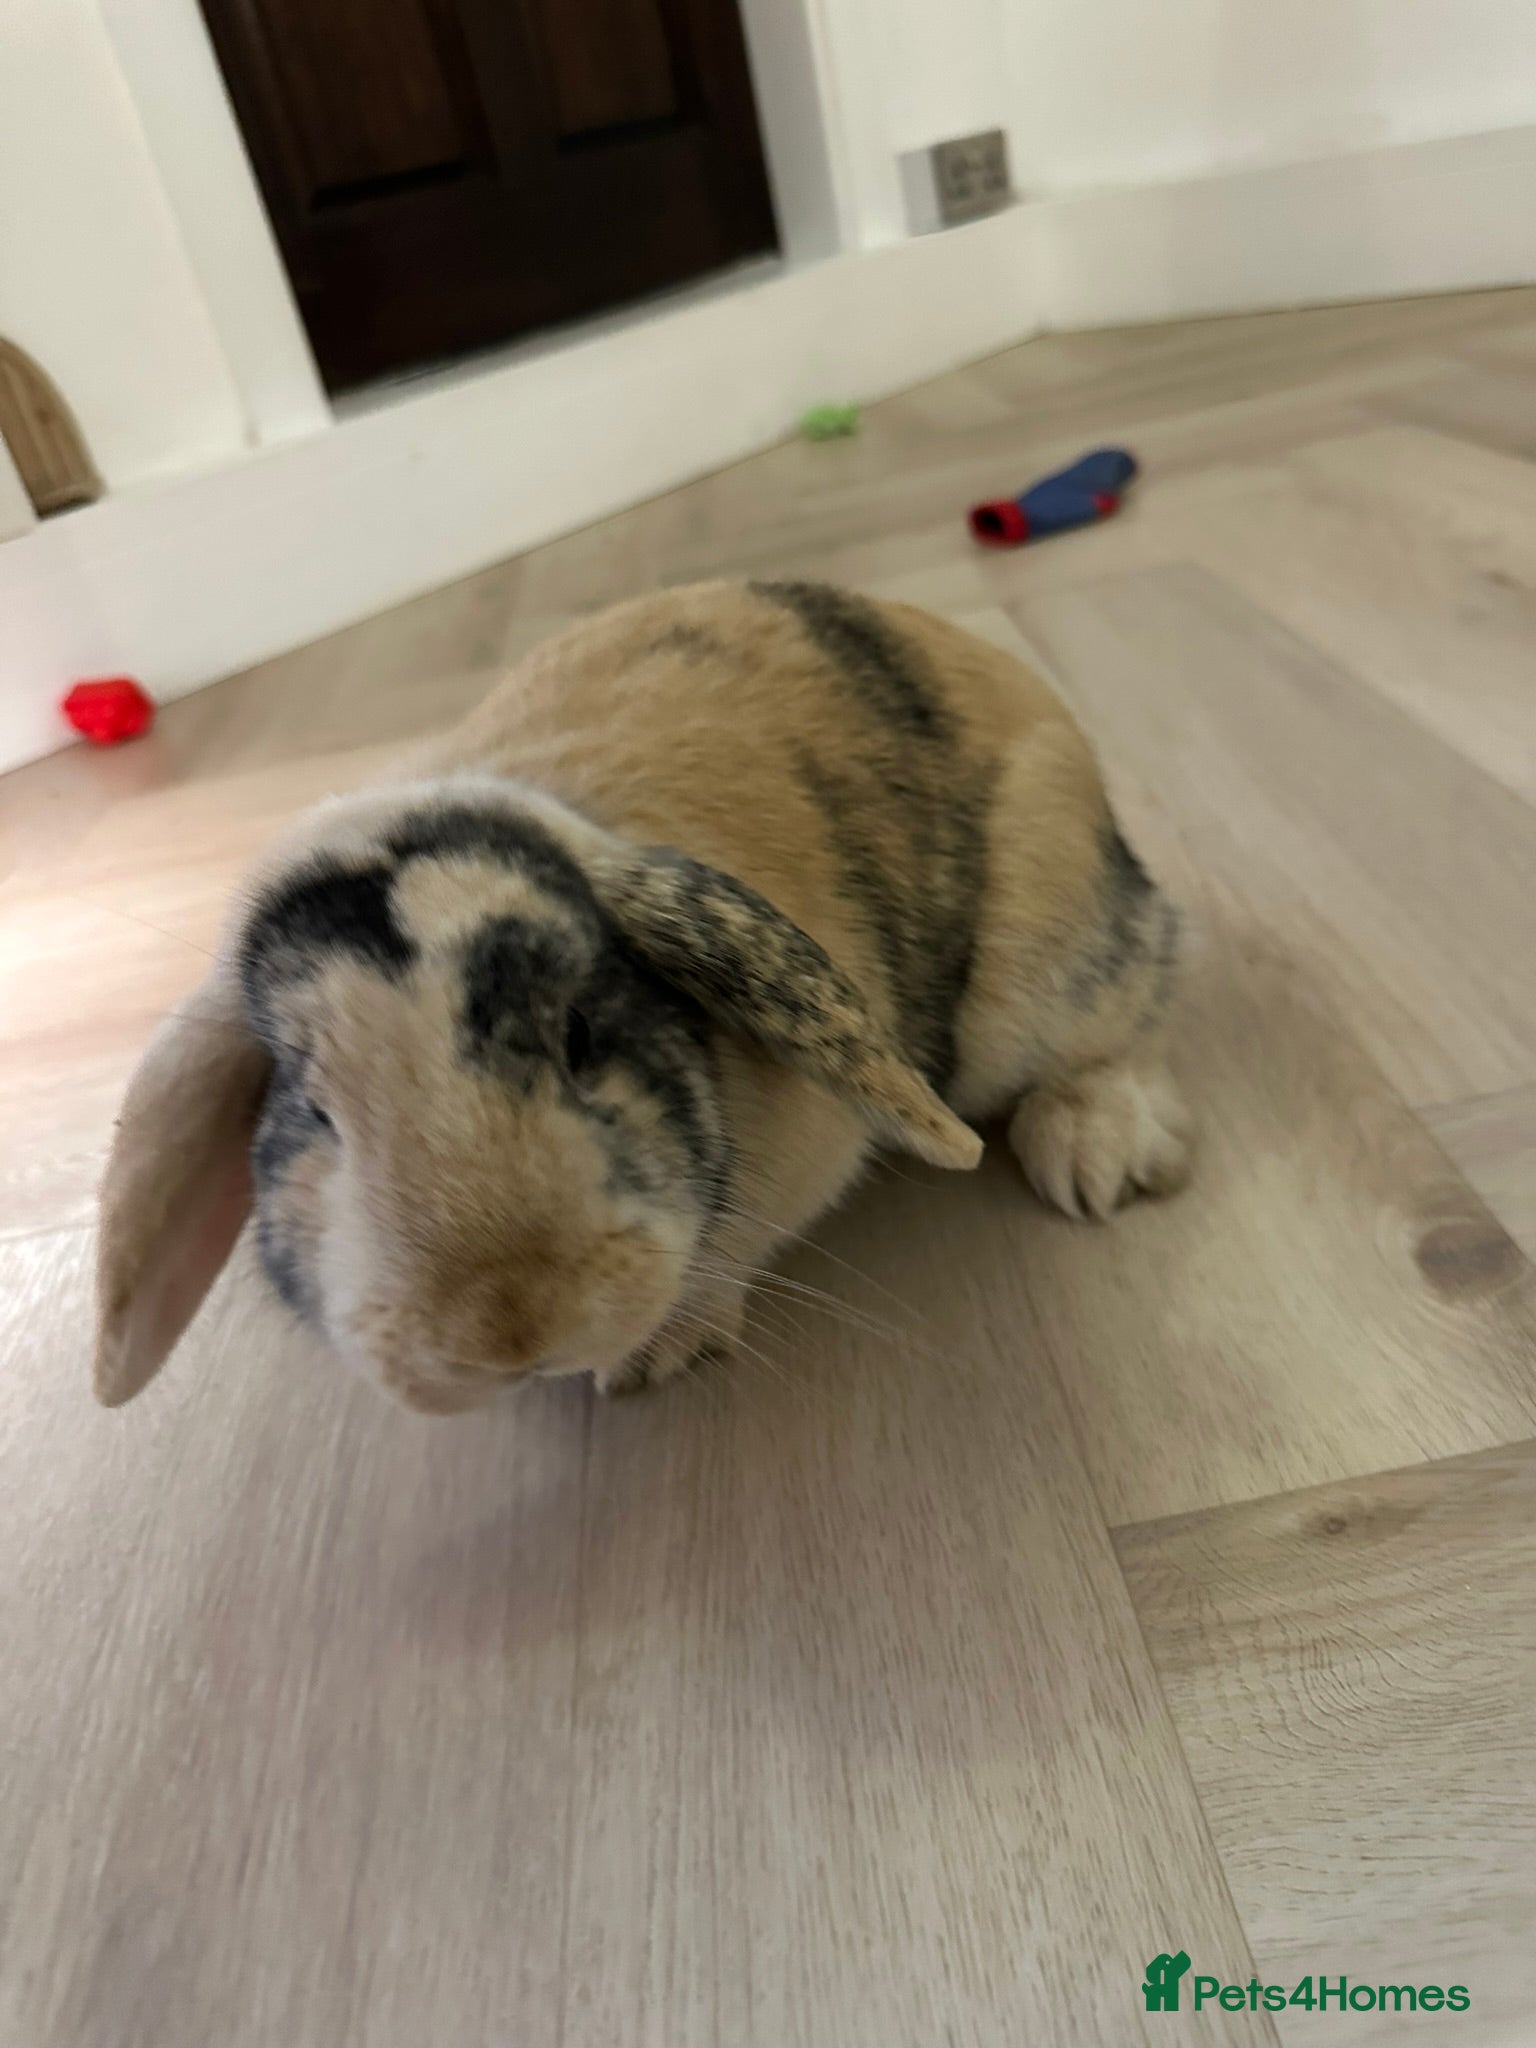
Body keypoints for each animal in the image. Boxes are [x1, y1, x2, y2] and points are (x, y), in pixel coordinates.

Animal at [94, 580, 1190, 1416]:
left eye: (580, 1035)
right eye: (315, 1110)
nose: (509, 1330)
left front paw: (652, 1358)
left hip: (1045, 971)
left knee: (1133, 1018)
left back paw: (1092, 1153)